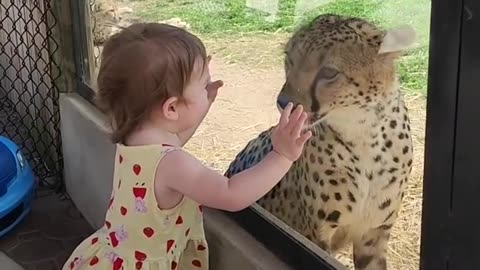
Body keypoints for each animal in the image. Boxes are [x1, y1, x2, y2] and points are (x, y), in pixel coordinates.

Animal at [225, 14, 416, 270]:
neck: (364, 135)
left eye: (329, 72)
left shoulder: (373, 233)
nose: (283, 102)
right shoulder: (315, 235)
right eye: (290, 60)